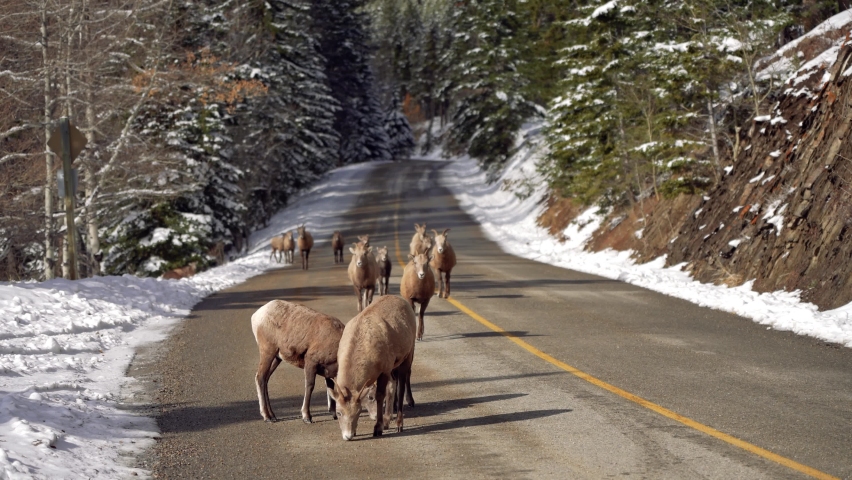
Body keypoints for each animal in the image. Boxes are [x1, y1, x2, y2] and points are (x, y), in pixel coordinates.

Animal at [330, 295, 416, 440]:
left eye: (358, 412)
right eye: (339, 413)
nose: (348, 436)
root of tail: (403, 300)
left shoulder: (384, 371)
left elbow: (380, 396)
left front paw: (378, 428)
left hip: (407, 357)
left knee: (401, 387)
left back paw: (399, 425)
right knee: (393, 386)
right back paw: (388, 422)